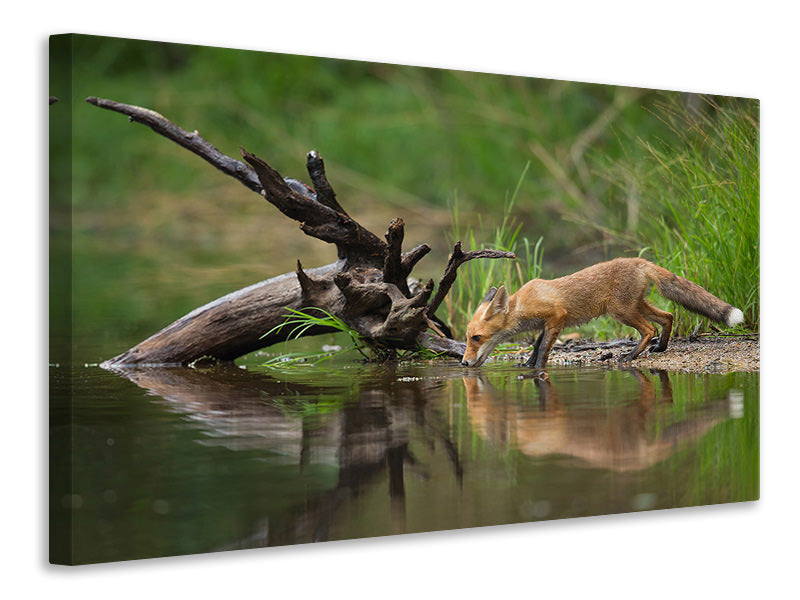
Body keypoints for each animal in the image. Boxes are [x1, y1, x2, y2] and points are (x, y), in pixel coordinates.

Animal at [460, 257, 744, 368]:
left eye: (476, 338)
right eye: (467, 338)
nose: (462, 362)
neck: (521, 305)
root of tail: (637, 261)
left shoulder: (557, 315)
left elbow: (543, 350)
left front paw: (537, 368)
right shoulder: (546, 323)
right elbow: (537, 345)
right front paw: (528, 364)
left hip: (620, 312)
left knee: (649, 328)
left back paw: (630, 356)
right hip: (635, 306)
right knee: (668, 316)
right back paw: (660, 347)